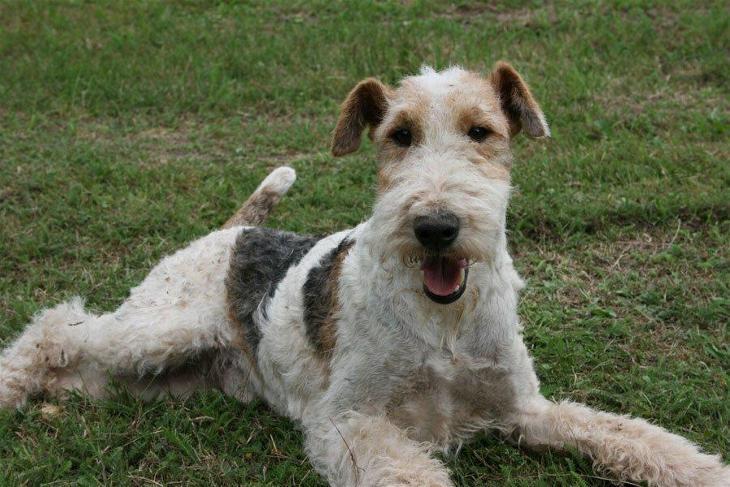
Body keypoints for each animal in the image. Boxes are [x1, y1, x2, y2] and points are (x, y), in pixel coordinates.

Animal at [1, 63, 728, 486]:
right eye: (398, 134)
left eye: (482, 130)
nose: (436, 226)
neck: (443, 322)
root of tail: (232, 230)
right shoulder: (348, 421)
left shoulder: (524, 407)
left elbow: (630, 436)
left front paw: (702, 469)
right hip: (155, 331)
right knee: (56, 325)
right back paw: (12, 391)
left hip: (163, 379)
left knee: (77, 365)